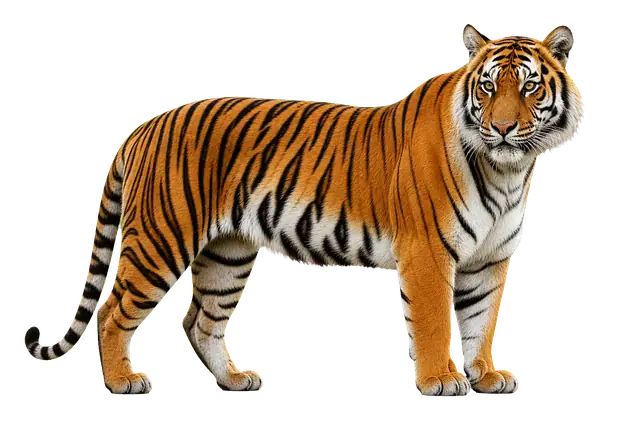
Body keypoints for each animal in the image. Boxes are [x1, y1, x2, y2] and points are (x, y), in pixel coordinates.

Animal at [22, 24, 584, 397]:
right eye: (488, 87)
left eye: (529, 86)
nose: (504, 128)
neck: (506, 170)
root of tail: (143, 126)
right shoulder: (428, 254)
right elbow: (435, 323)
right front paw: (441, 379)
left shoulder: (491, 258)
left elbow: (482, 321)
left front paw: (488, 374)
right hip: (162, 238)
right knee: (113, 311)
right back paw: (125, 381)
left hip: (228, 253)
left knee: (199, 320)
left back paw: (236, 378)